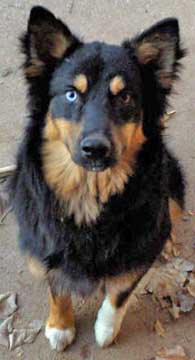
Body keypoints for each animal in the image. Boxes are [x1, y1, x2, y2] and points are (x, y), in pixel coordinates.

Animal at [9, 6, 186, 352]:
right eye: (71, 94)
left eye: (125, 97)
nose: (95, 149)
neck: (89, 194)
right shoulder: (47, 246)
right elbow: (57, 286)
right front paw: (60, 326)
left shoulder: (139, 250)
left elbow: (119, 293)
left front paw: (106, 329)